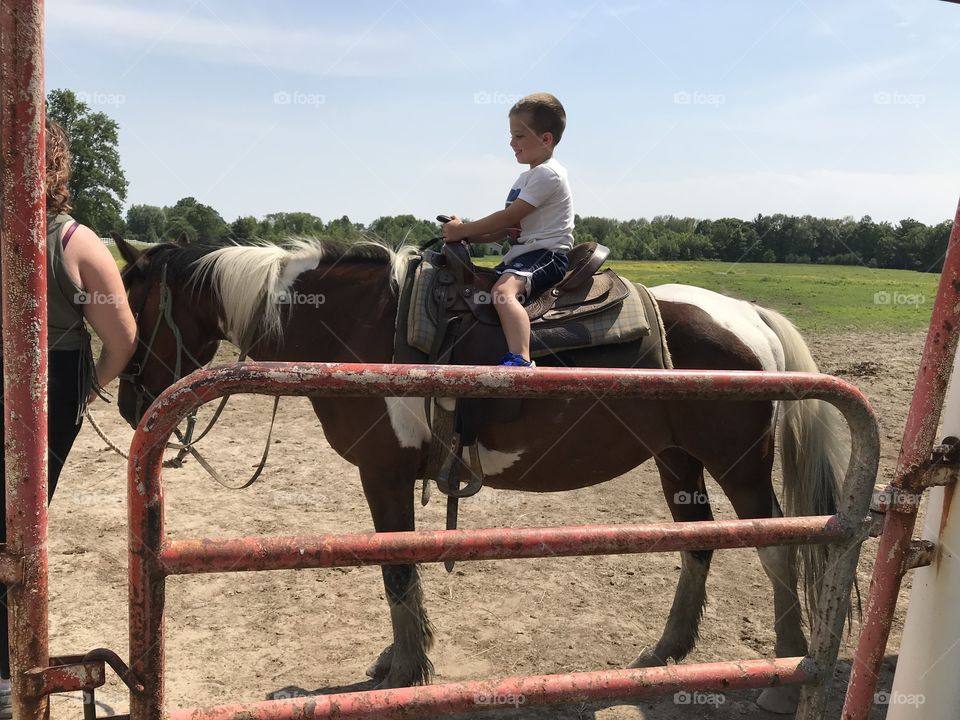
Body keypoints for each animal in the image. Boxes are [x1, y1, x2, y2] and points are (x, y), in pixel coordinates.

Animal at [114, 236, 849, 714]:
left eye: (135, 305)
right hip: (678, 459)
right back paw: (666, 649)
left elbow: (396, 569)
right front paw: (402, 659)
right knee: (698, 539)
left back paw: (783, 680)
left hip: (738, 465)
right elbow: (400, 569)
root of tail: (749, 315)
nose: (127, 402)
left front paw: (407, 669)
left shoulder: (382, 474)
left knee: (781, 546)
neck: (357, 327)